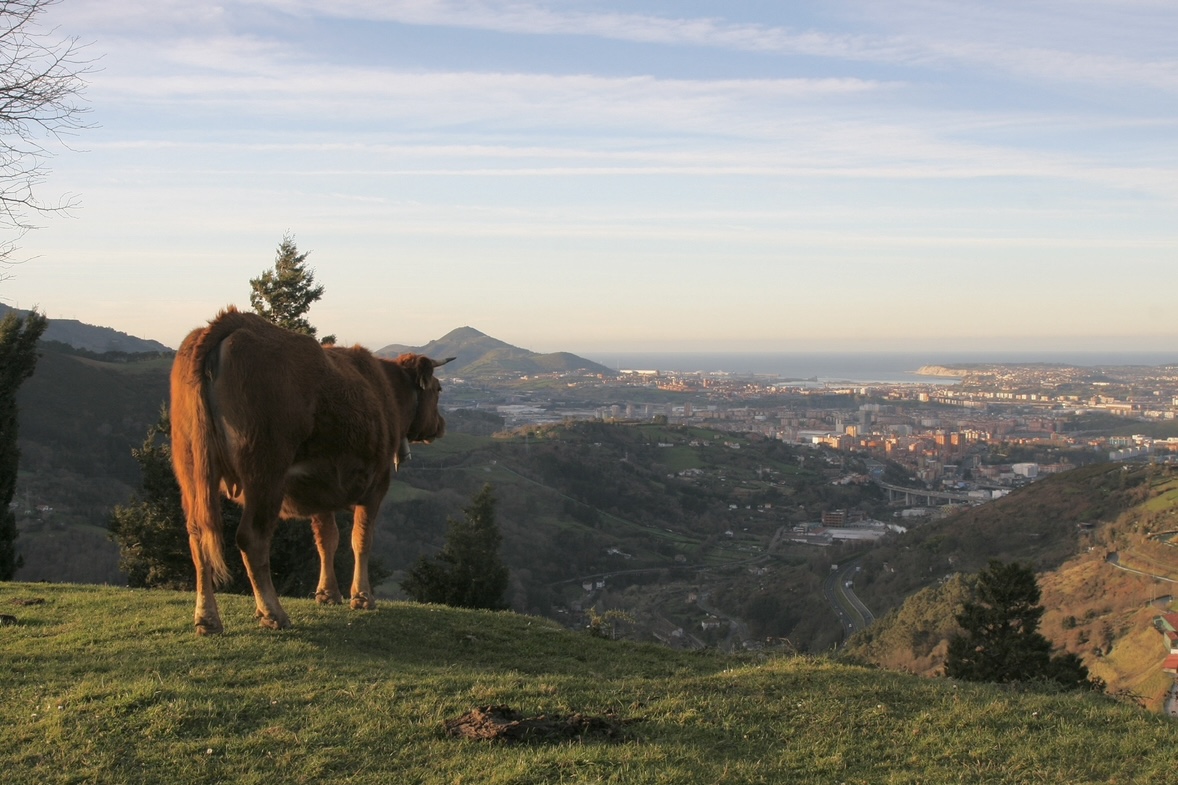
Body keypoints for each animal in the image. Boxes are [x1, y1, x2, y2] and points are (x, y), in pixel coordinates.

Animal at [169, 307, 451, 634]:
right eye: (438, 389)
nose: (441, 425)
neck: (389, 392)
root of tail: (231, 320)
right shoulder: (377, 483)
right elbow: (361, 539)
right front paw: (362, 597)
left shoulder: (320, 487)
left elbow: (327, 539)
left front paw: (328, 593)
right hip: (265, 471)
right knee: (252, 537)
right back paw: (272, 612)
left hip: (191, 470)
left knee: (197, 535)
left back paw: (208, 618)